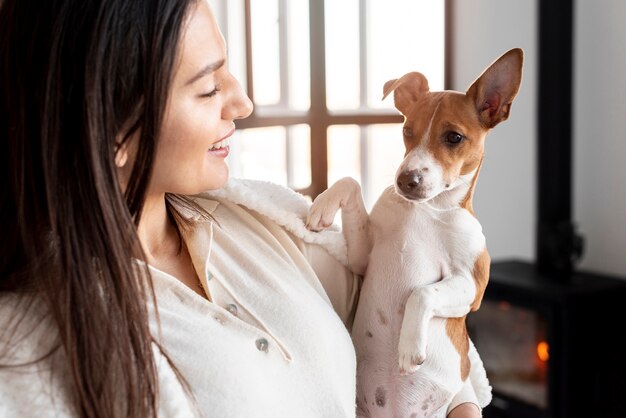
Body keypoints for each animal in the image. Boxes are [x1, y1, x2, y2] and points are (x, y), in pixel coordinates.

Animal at [304, 47, 520, 416]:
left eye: (454, 137)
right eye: (407, 130)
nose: (406, 180)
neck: (428, 210)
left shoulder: (472, 288)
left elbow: (422, 293)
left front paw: (409, 346)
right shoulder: (364, 256)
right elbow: (351, 181)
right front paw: (322, 205)